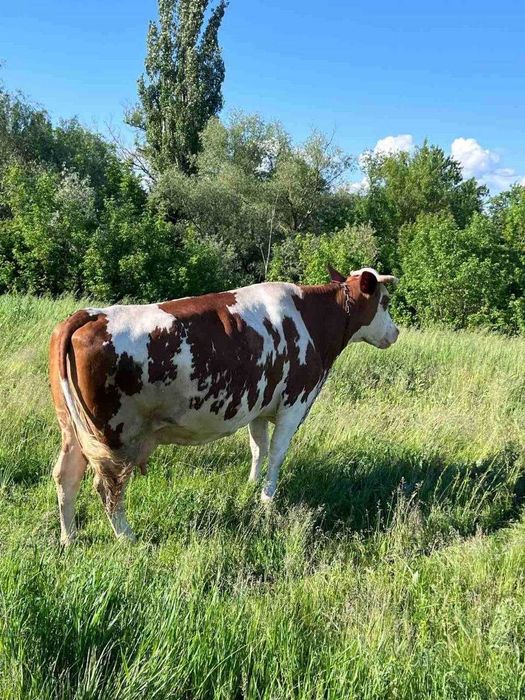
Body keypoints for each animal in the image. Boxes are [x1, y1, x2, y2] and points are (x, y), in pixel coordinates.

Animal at [49, 266, 399, 545]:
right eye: (384, 302)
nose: (395, 332)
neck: (310, 319)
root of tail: (90, 314)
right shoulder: (294, 404)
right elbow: (276, 454)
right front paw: (267, 501)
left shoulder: (259, 406)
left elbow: (258, 448)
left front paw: (251, 486)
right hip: (115, 435)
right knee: (108, 486)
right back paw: (126, 537)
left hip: (73, 429)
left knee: (66, 475)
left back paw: (69, 538)